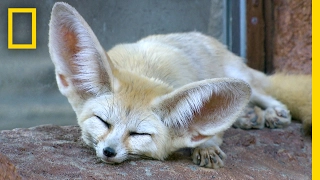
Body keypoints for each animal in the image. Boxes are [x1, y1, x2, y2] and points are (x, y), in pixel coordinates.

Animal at [48, 1, 312, 169]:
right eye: (103, 121)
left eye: (139, 134)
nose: (109, 152)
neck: (145, 69)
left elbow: (210, 132)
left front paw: (206, 146)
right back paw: (248, 115)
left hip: (241, 77)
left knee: (267, 94)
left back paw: (272, 112)